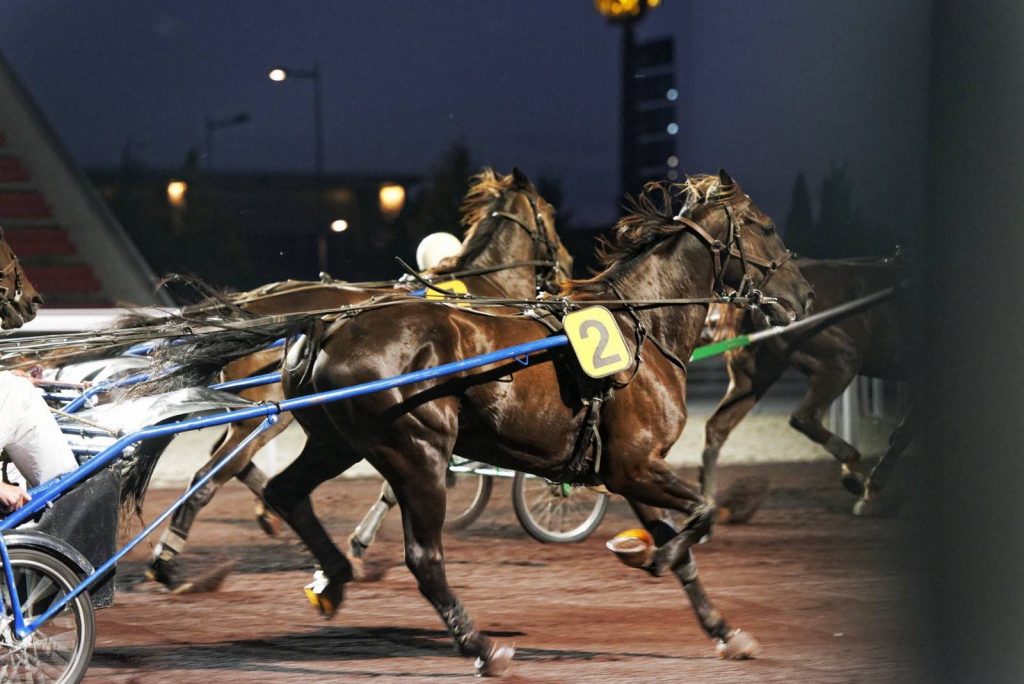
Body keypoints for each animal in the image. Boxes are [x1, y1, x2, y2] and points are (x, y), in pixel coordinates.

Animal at [144, 167, 577, 589]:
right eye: (550, 211)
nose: (567, 264)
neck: (485, 288)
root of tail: (245, 308)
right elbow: (398, 486)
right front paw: (360, 541)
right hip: (266, 414)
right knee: (210, 474)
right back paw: (166, 557)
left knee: (230, 464)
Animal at [696, 253, 913, 509]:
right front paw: (871, 487)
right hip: (841, 360)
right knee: (803, 417)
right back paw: (853, 468)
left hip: (756, 375)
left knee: (717, 427)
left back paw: (707, 498)